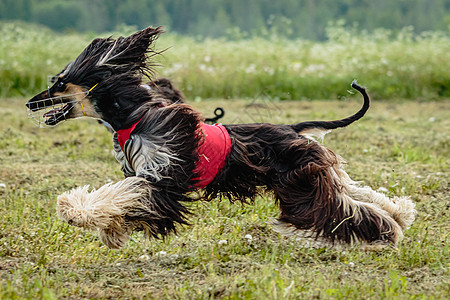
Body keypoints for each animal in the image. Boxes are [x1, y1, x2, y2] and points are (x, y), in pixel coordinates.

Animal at [26, 26, 416, 251]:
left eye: (59, 83)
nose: (31, 103)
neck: (133, 118)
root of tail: (293, 128)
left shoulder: (164, 174)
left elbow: (125, 193)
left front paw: (74, 209)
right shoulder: (149, 174)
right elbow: (126, 198)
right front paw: (112, 229)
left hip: (301, 184)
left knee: (341, 208)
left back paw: (386, 233)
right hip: (316, 172)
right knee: (355, 192)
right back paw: (399, 215)